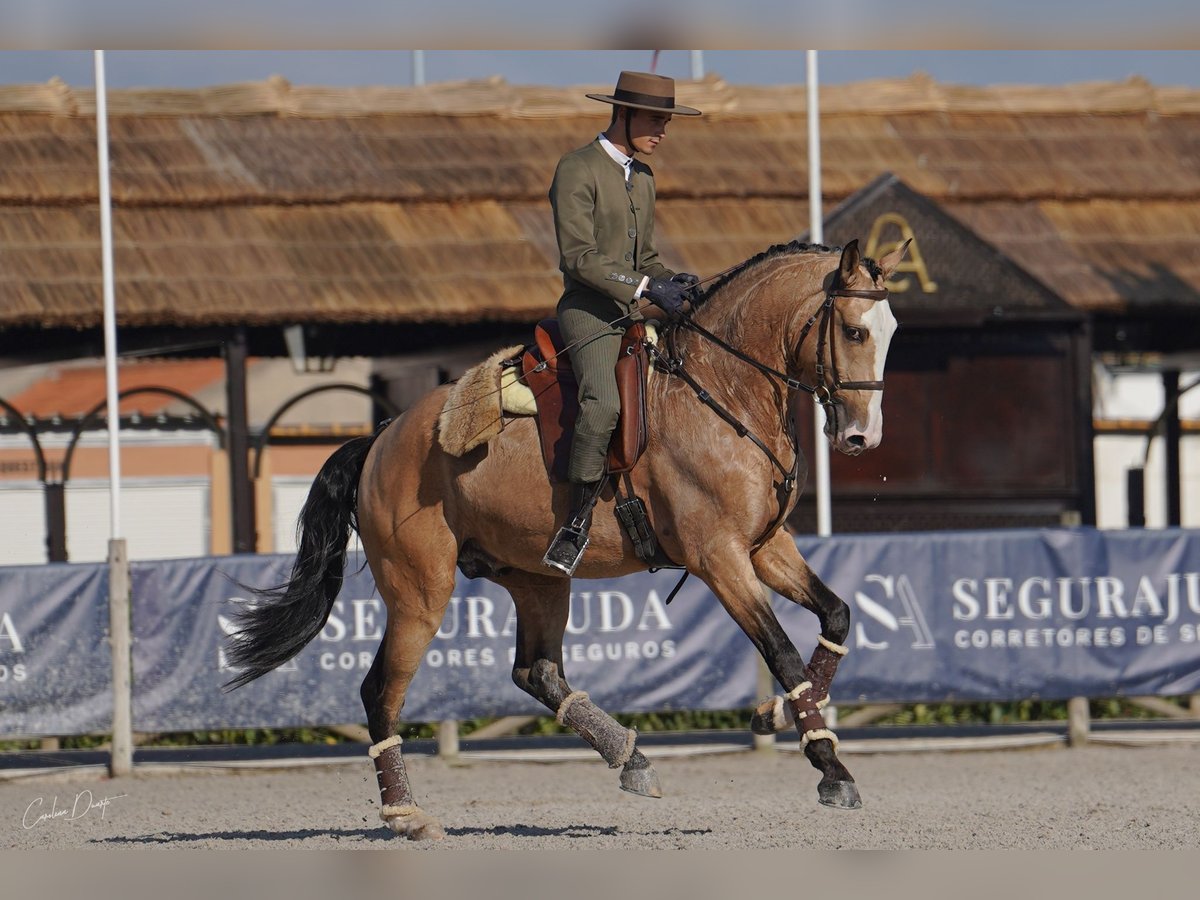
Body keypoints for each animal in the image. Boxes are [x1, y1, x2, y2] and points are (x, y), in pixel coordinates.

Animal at [225, 236, 902, 844]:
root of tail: (384, 437)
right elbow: (782, 652)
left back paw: (630, 756)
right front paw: (829, 766)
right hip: (420, 594)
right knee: (381, 692)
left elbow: (837, 617)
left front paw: (784, 713)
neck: (724, 390)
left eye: (891, 331)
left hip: (538, 580)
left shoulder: (766, 547)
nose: (862, 438)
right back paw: (406, 815)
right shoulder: (721, 558)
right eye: (854, 333)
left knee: (537, 672)